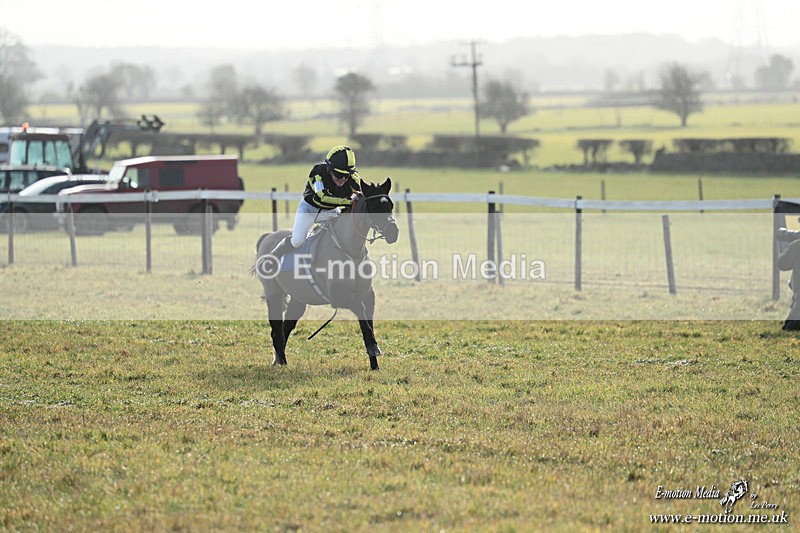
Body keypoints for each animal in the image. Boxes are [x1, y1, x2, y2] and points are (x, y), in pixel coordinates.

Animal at [254, 178, 399, 371]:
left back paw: (279, 360)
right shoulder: (340, 296)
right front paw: (373, 347)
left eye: (390, 205)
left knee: (286, 327)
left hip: (298, 299)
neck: (349, 250)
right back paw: (282, 362)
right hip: (274, 294)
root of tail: (267, 237)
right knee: (276, 330)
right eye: (374, 206)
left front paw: (374, 363)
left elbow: (368, 322)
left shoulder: (367, 295)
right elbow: (360, 311)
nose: (393, 231)